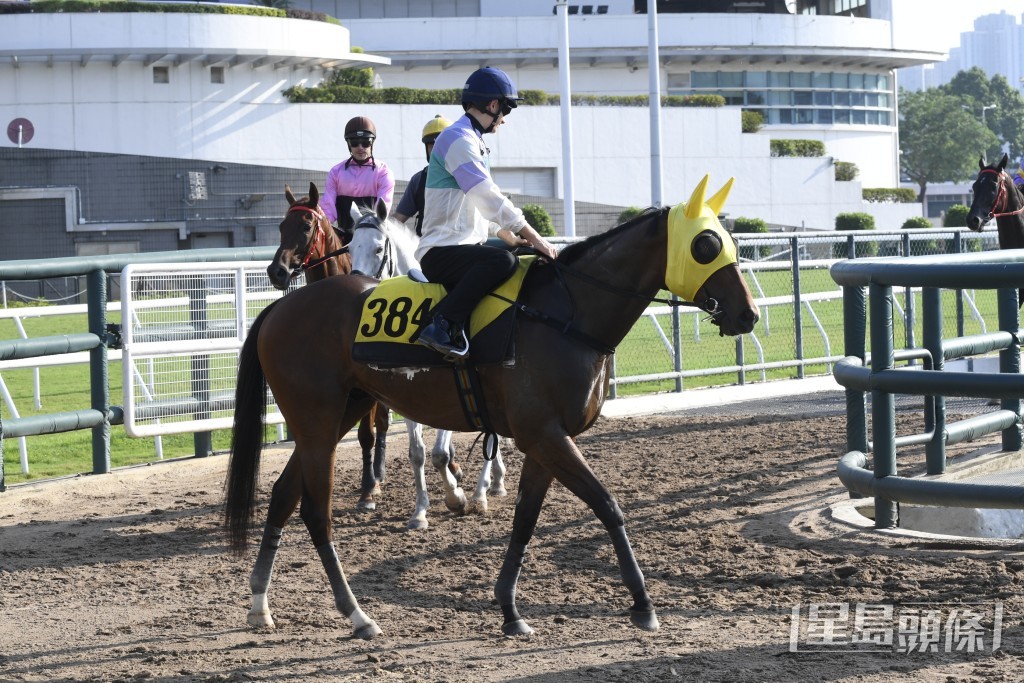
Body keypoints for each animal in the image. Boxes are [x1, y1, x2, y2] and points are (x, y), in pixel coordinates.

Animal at [264, 184, 391, 509]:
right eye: (281, 226)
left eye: (306, 226)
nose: (277, 271)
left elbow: (366, 433)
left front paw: (368, 489)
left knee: (382, 423)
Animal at [348, 204, 507, 528]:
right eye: (349, 248)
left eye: (377, 248)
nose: (358, 286)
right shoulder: (409, 395)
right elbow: (417, 453)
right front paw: (420, 511)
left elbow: (440, 454)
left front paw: (456, 498)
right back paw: (495, 481)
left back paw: (481, 493)